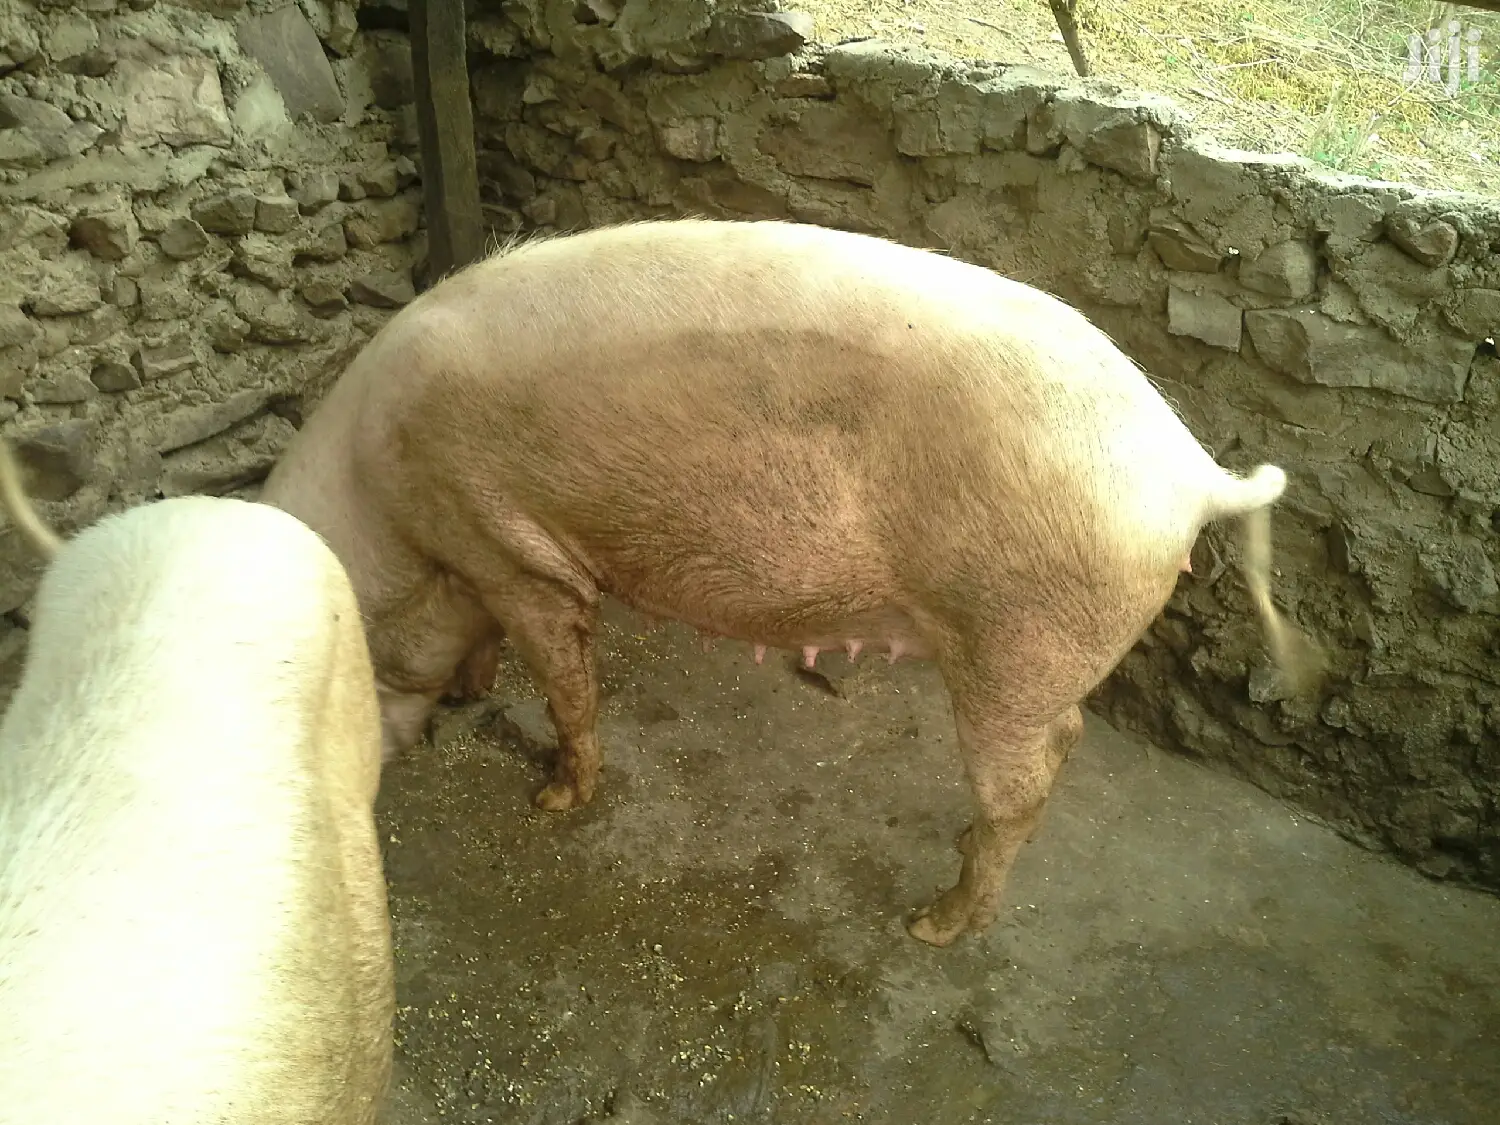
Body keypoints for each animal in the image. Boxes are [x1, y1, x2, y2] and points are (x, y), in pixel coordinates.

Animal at [261, 218, 1324, 947]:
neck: (389, 524)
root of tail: (1190, 469)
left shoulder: (507, 550)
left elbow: (565, 682)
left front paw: (554, 803)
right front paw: (474, 693)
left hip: (1018, 639)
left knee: (1021, 785)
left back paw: (934, 926)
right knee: (1056, 748)